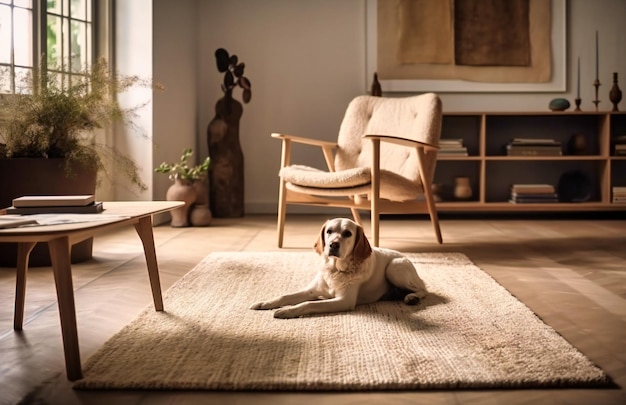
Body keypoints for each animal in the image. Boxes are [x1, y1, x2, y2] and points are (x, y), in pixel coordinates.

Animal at [251, 216, 426, 318]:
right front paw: (265, 303)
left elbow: (308, 304)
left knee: (423, 289)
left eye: (347, 233)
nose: (333, 245)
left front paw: (287, 311)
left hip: (394, 267)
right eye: (329, 231)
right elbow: (285, 296)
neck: (335, 269)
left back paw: (412, 297)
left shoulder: (343, 301)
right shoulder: (311, 291)